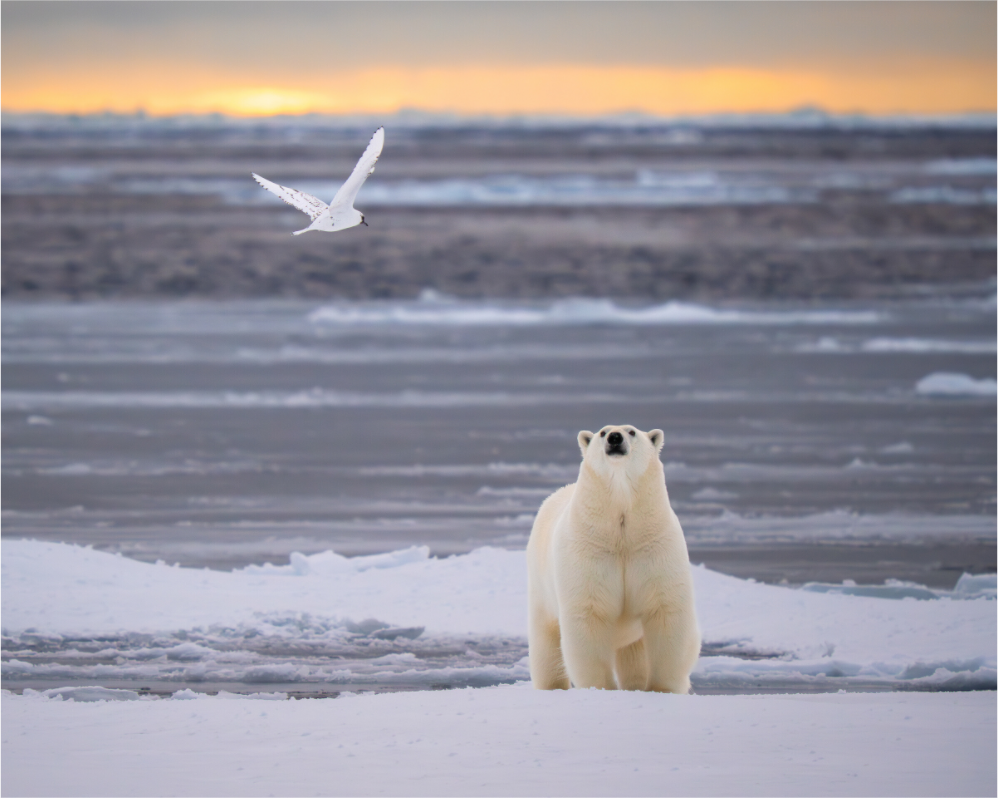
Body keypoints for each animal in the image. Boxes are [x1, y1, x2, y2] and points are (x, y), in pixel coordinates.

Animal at [526, 424, 700, 692]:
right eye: (602, 432)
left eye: (631, 431)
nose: (614, 438)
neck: (622, 535)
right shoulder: (588, 550)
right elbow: (589, 616)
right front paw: (601, 688)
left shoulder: (654, 547)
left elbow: (666, 611)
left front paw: (662, 689)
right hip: (541, 587)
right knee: (546, 640)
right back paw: (552, 686)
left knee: (634, 652)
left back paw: (635, 684)